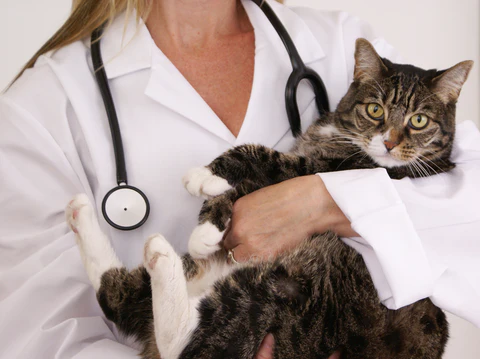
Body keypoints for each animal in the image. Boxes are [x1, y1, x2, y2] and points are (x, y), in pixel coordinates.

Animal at [65, 38, 474, 358]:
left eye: (419, 120)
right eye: (375, 109)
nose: (389, 143)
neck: (340, 134)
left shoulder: (323, 170)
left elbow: (259, 155)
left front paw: (204, 181)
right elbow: (240, 189)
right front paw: (208, 224)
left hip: (293, 296)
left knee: (191, 342)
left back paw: (158, 259)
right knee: (116, 293)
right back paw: (82, 214)